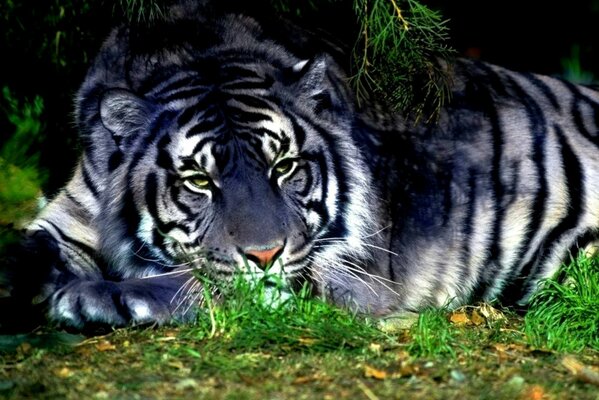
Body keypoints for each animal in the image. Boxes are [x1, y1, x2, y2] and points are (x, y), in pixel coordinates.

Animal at [4, 1, 599, 330]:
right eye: (198, 180)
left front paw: (94, 297)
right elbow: (27, 251)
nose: (265, 255)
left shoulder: (342, 270)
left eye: (285, 167)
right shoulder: (66, 219)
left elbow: (202, 282)